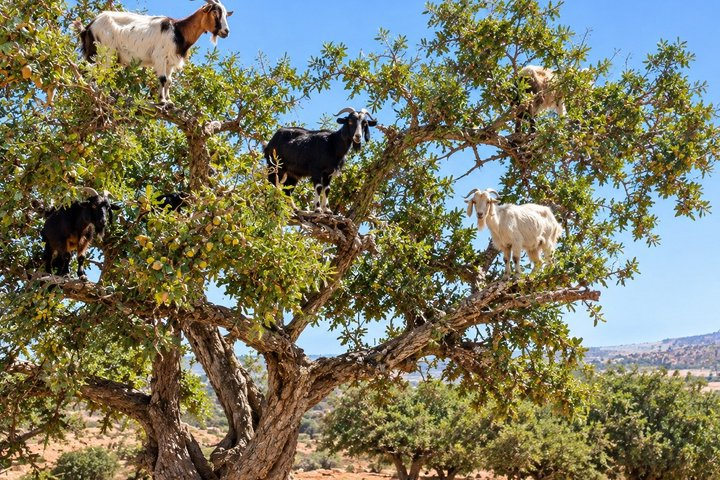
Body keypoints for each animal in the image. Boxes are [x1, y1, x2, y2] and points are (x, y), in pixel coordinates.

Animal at [77, 0, 233, 104]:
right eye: (214, 12)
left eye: (226, 14)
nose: (226, 32)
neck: (178, 30)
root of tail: (89, 27)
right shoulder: (160, 57)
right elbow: (163, 79)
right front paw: (162, 101)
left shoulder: (170, 62)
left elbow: (169, 81)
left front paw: (169, 101)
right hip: (105, 53)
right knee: (96, 72)